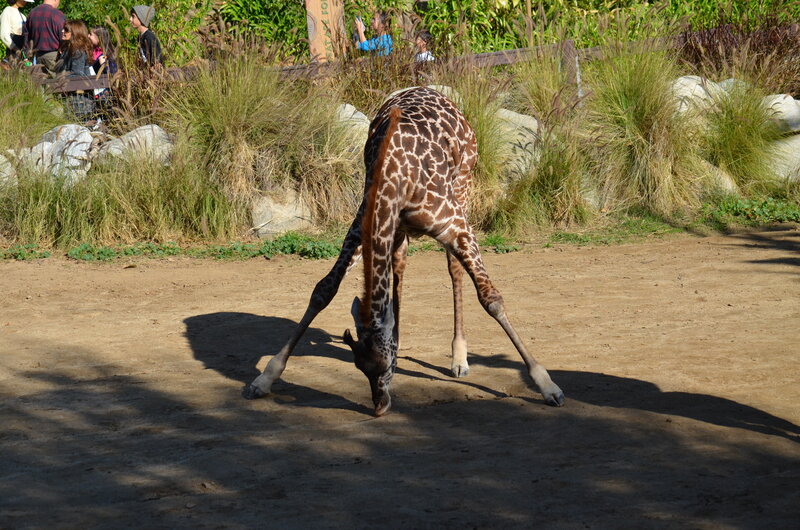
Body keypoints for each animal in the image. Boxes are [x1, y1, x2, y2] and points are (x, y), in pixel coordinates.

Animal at [243, 86, 565, 416]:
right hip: (399, 230)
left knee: (453, 268)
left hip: (463, 186)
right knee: (398, 266)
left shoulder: (455, 225)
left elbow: (492, 299)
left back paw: (459, 359)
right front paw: (263, 379)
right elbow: (323, 290)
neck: (393, 176)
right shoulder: (362, 226)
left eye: (383, 366)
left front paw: (547, 385)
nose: (379, 406)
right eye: (359, 367)